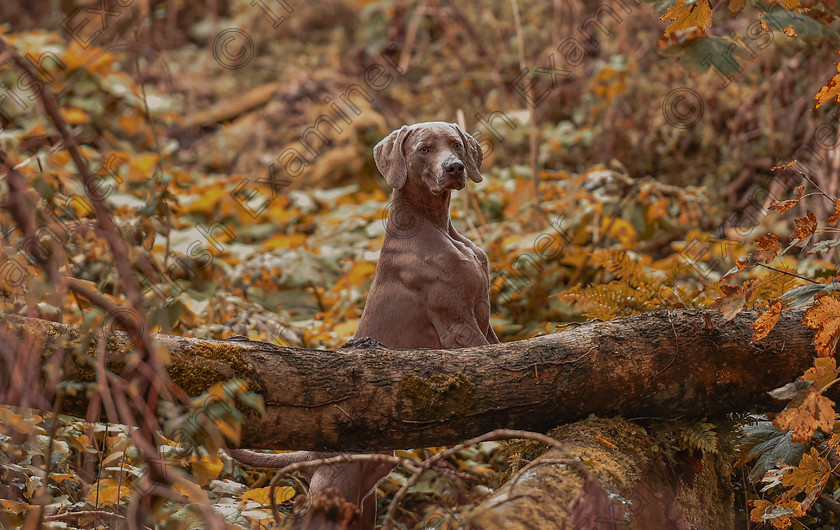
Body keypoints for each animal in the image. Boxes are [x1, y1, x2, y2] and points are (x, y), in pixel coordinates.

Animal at [231, 121, 498, 524]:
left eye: (455, 144)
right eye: (424, 149)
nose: (454, 168)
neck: (435, 226)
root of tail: (311, 453)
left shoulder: (484, 317)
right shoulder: (458, 327)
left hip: (365, 498)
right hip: (336, 490)